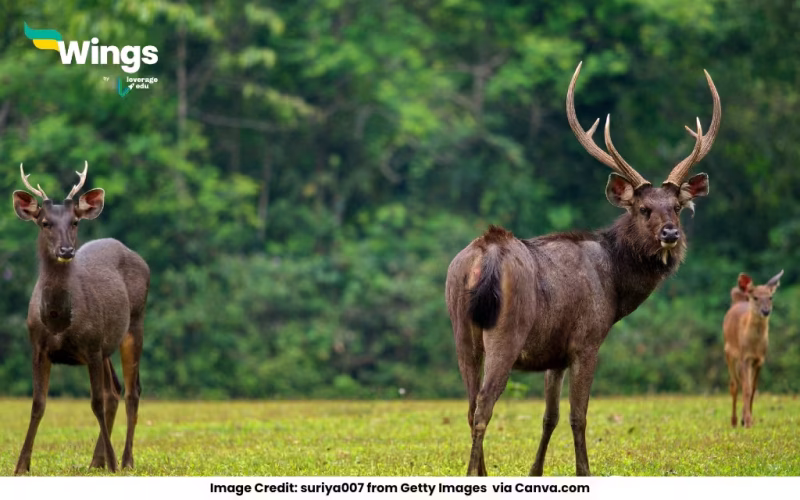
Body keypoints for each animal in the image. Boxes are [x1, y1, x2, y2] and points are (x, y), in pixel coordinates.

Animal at [11, 162, 150, 475]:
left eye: (75, 222)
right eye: (45, 222)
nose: (66, 250)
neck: (58, 320)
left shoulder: (92, 346)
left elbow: (95, 402)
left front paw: (114, 462)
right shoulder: (38, 348)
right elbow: (38, 404)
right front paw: (22, 465)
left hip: (135, 322)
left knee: (131, 392)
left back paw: (125, 460)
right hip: (108, 340)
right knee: (115, 391)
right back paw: (97, 461)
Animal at [445, 61, 721, 476]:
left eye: (677, 207)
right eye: (644, 209)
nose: (670, 234)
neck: (616, 288)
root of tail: (485, 250)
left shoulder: (553, 354)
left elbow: (550, 417)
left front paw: (535, 471)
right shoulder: (586, 341)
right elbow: (579, 416)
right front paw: (584, 470)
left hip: (461, 328)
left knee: (469, 406)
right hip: (506, 332)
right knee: (482, 408)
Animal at [723, 270, 783, 428]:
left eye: (770, 297)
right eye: (755, 297)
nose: (766, 311)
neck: (754, 346)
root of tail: (738, 301)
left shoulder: (760, 360)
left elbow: (753, 388)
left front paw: (748, 419)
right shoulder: (745, 358)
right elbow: (747, 389)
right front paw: (747, 421)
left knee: (742, 383)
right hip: (729, 352)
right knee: (734, 385)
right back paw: (734, 421)